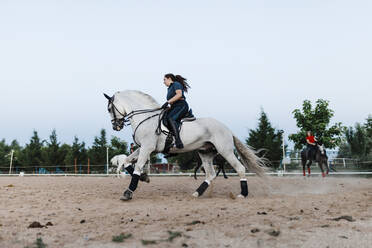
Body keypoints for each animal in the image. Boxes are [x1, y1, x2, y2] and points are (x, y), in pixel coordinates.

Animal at [104, 90, 266, 201]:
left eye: (109, 109)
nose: (115, 127)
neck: (145, 117)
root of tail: (226, 128)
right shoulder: (143, 148)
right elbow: (126, 162)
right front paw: (144, 178)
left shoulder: (147, 148)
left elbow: (137, 167)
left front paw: (128, 193)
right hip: (205, 153)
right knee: (211, 174)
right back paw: (197, 193)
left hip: (225, 151)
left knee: (240, 168)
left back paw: (242, 194)